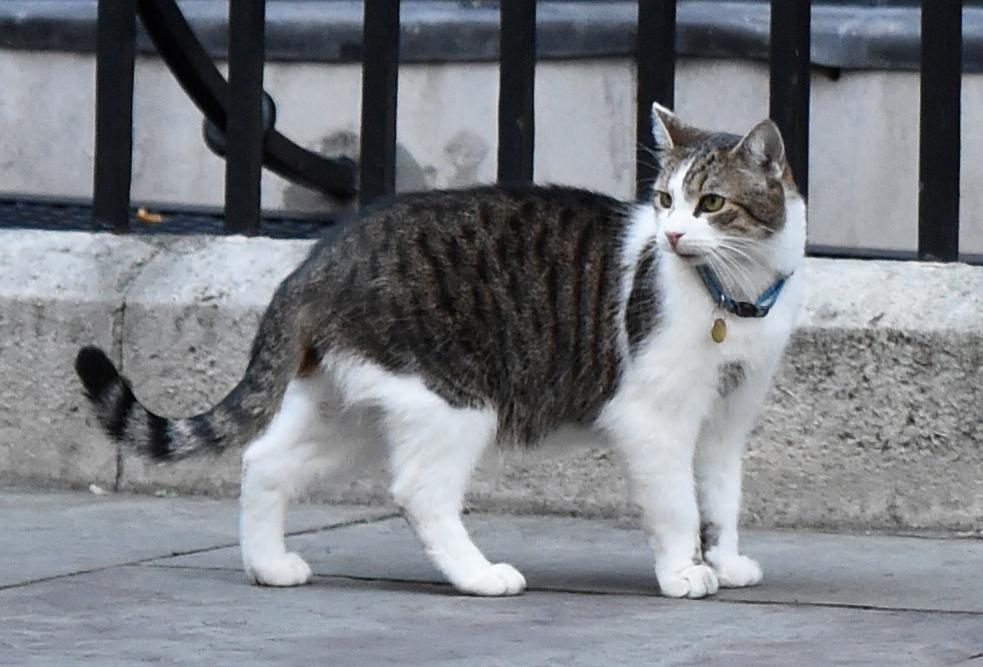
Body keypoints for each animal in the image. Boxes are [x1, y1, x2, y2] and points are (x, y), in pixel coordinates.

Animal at [77, 105, 804, 600]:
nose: (672, 234)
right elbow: (678, 503)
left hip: (352, 409)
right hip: (453, 399)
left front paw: (723, 561)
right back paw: (479, 575)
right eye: (664, 199)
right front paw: (684, 570)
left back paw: (269, 566)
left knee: (263, 460)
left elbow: (720, 498)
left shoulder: (725, 422)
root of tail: (317, 262)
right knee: (419, 491)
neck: (730, 296)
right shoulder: (653, 417)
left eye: (710, 203)